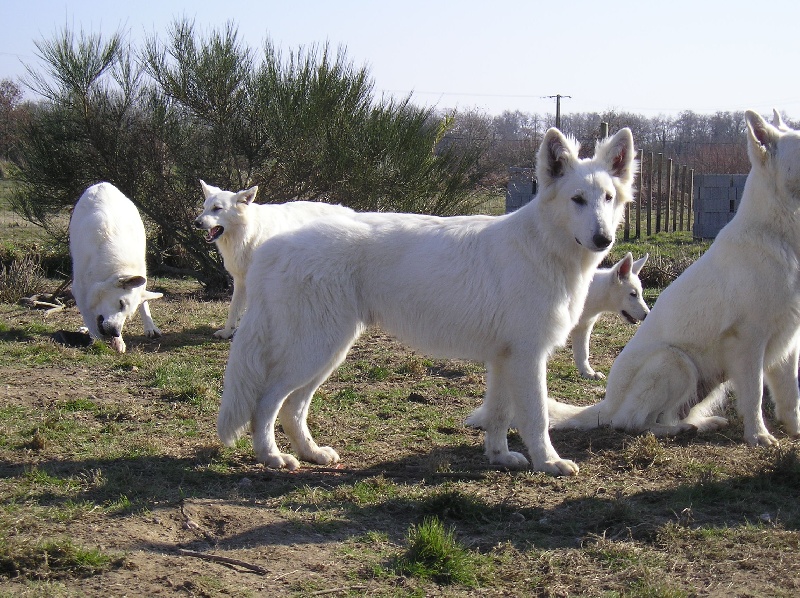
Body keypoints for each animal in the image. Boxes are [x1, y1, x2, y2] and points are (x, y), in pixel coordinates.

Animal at [70, 182, 162, 353]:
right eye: (120, 304)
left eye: (128, 315)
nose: (115, 332)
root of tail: (102, 184)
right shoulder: (80, 290)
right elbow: (90, 318)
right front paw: (97, 340)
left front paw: (118, 341)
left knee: (144, 301)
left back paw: (150, 327)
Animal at [193, 181, 355, 339]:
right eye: (205, 208)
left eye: (217, 208)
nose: (196, 222)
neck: (249, 234)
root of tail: (353, 213)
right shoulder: (240, 280)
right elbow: (234, 308)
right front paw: (228, 332)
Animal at [217, 126, 636, 476]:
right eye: (577, 200)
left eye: (607, 198)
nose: (604, 239)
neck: (543, 247)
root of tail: (273, 246)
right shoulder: (528, 357)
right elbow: (535, 418)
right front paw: (549, 463)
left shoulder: (504, 358)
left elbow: (499, 414)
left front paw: (499, 457)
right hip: (315, 350)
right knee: (266, 403)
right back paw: (272, 457)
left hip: (328, 352)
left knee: (292, 407)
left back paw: (311, 453)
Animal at [549, 110, 800, 446]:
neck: (778, 237)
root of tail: (607, 403)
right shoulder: (750, 342)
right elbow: (755, 396)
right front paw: (758, 436)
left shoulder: (788, 342)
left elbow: (790, 396)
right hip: (675, 361)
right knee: (632, 422)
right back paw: (677, 429)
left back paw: (702, 423)